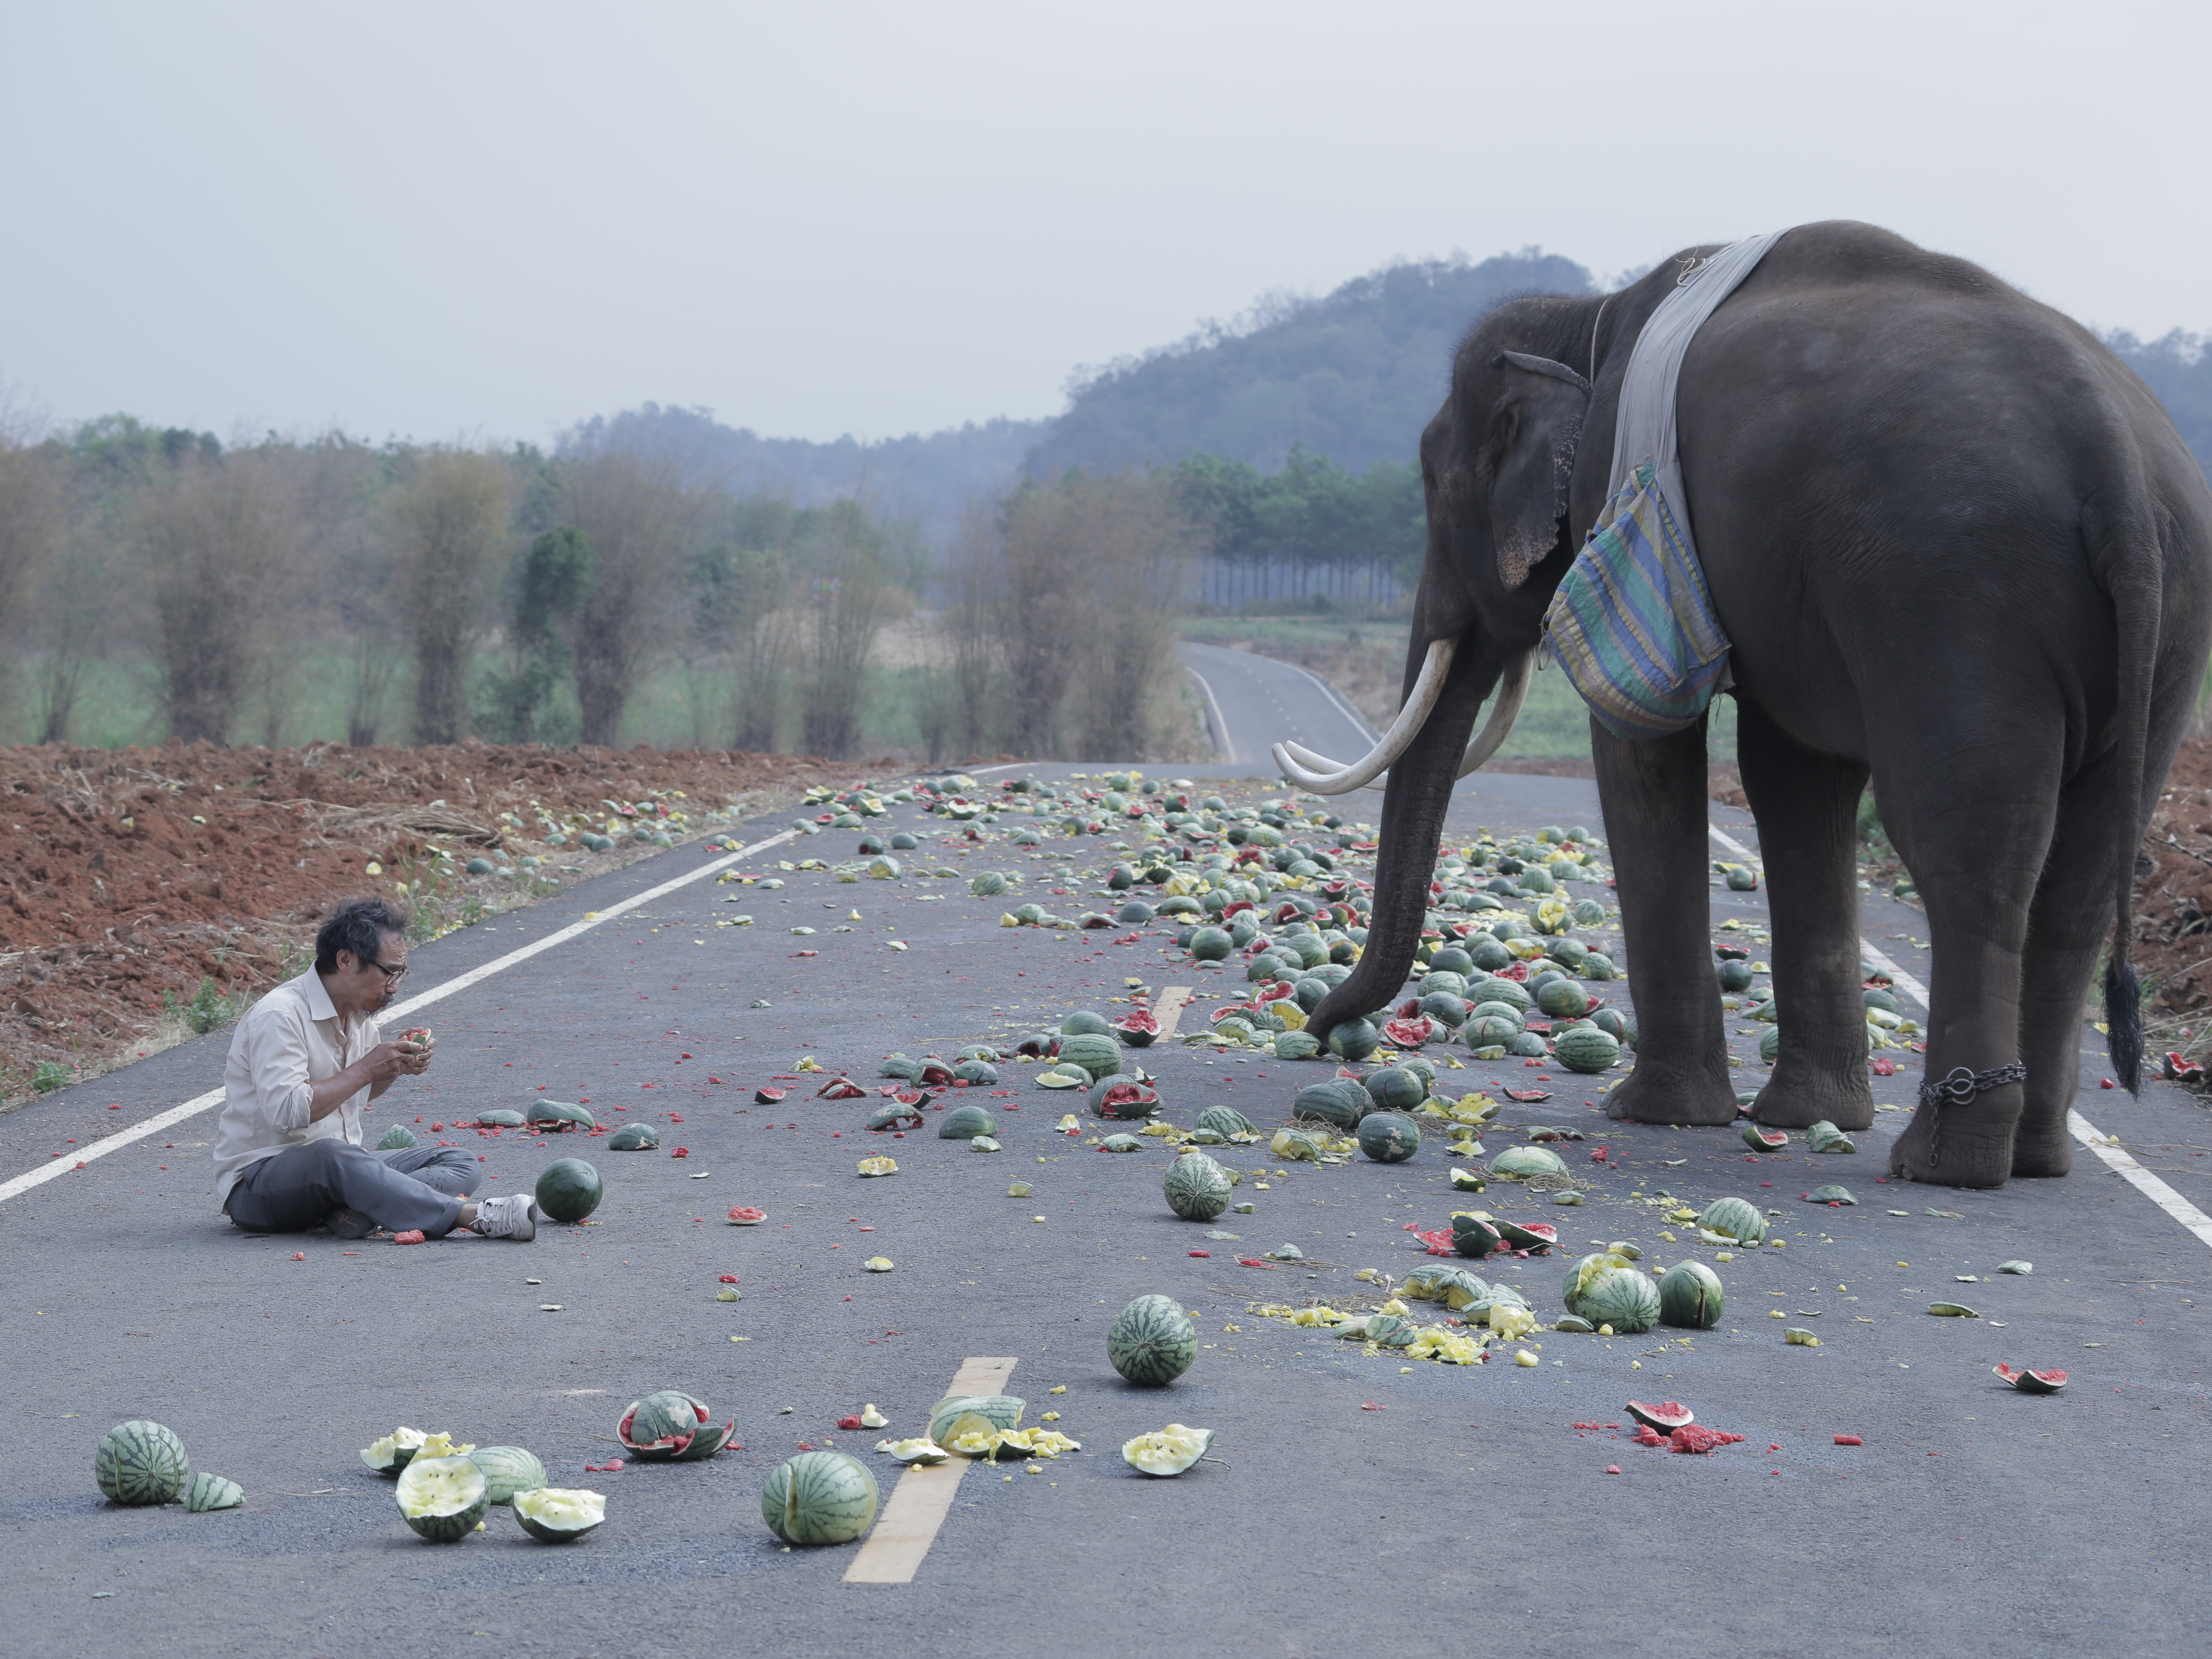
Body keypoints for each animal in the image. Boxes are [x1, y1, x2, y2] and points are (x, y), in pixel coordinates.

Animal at [1280, 221, 2212, 1189]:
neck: (1589, 318)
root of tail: (2113, 454)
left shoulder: (1624, 495)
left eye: (1434, 484)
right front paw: (1802, 1116)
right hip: (2171, 620)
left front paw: (1654, 1112)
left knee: (1966, 850)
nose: (1325, 1032)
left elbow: (1642, 743)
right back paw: (2033, 1158)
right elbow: (1794, 778)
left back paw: (1943, 1163)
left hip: (1955, 596)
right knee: (2080, 875)